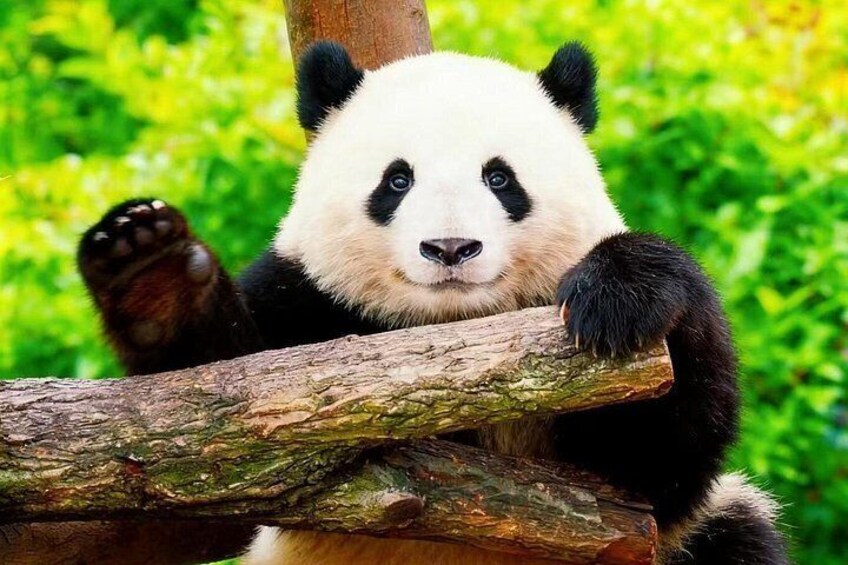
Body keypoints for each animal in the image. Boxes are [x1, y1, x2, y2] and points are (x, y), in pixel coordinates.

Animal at [78, 41, 789, 564]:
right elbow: (203, 423)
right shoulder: (305, 297)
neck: (452, 331)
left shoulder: (629, 500)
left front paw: (622, 298)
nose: (450, 248)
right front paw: (153, 273)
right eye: (397, 180)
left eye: (499, 178)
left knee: (737, 536)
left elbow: (656, 468)